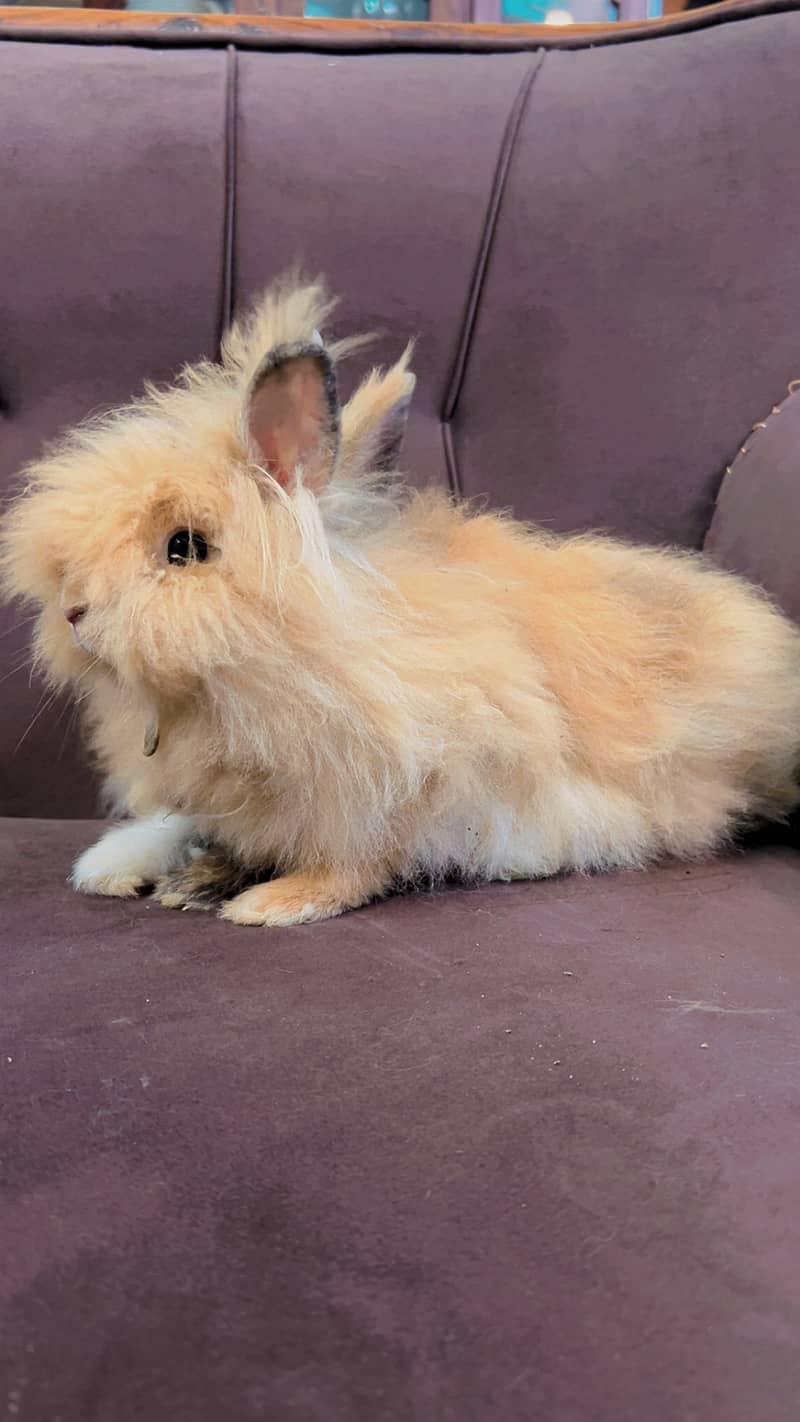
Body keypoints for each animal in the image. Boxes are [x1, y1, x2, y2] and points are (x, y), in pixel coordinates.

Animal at [2, 275, 799, 927]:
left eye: (185, 547)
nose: (74, 613)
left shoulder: (416, 784)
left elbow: (356, 860)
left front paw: (271, 902)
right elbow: (188, 824)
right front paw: (120, 868)